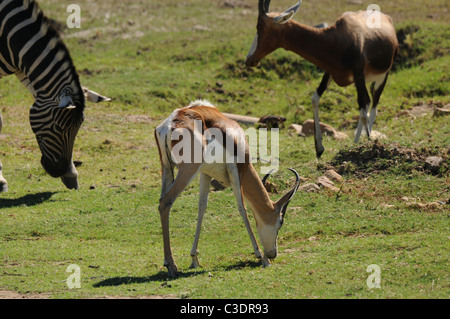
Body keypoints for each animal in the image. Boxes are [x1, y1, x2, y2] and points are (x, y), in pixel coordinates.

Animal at [0, 0, 110, 192]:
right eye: (58, 127)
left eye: (79, 127)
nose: (59, 171)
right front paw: (0, 180)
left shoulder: (27, 71)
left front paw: (71, 173)